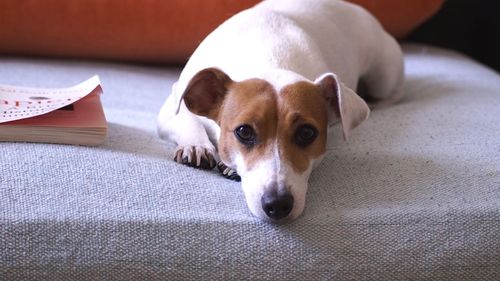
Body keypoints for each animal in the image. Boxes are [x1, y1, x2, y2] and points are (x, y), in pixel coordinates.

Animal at [158, 0, 404, 221]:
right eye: (243, 131)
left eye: (307, 133)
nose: (277, 205)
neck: (269, 57)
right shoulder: (170, 107)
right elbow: (186, 120)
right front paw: (196, 145)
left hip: (384, 76)